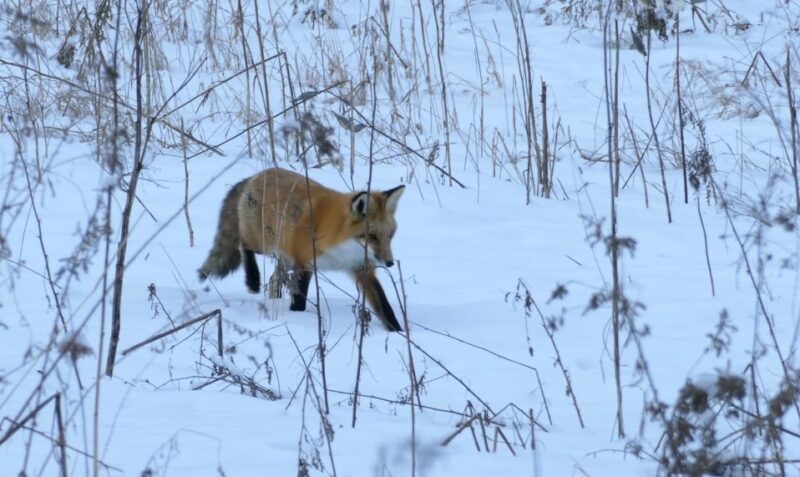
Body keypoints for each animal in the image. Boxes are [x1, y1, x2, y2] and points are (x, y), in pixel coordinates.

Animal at [197, 168, 404, 330]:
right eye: (373, 236)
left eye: (390, 235)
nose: (390, 263)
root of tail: (255, 175)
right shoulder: (304, 263)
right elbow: (299, 299)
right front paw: (296, 316)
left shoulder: (362, 268)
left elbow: (384, 305)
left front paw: (397, 332)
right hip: (263, 243)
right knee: (243, 245)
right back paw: (253, 280)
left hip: (285, 259)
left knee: (273, 279)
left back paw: (274, 299)